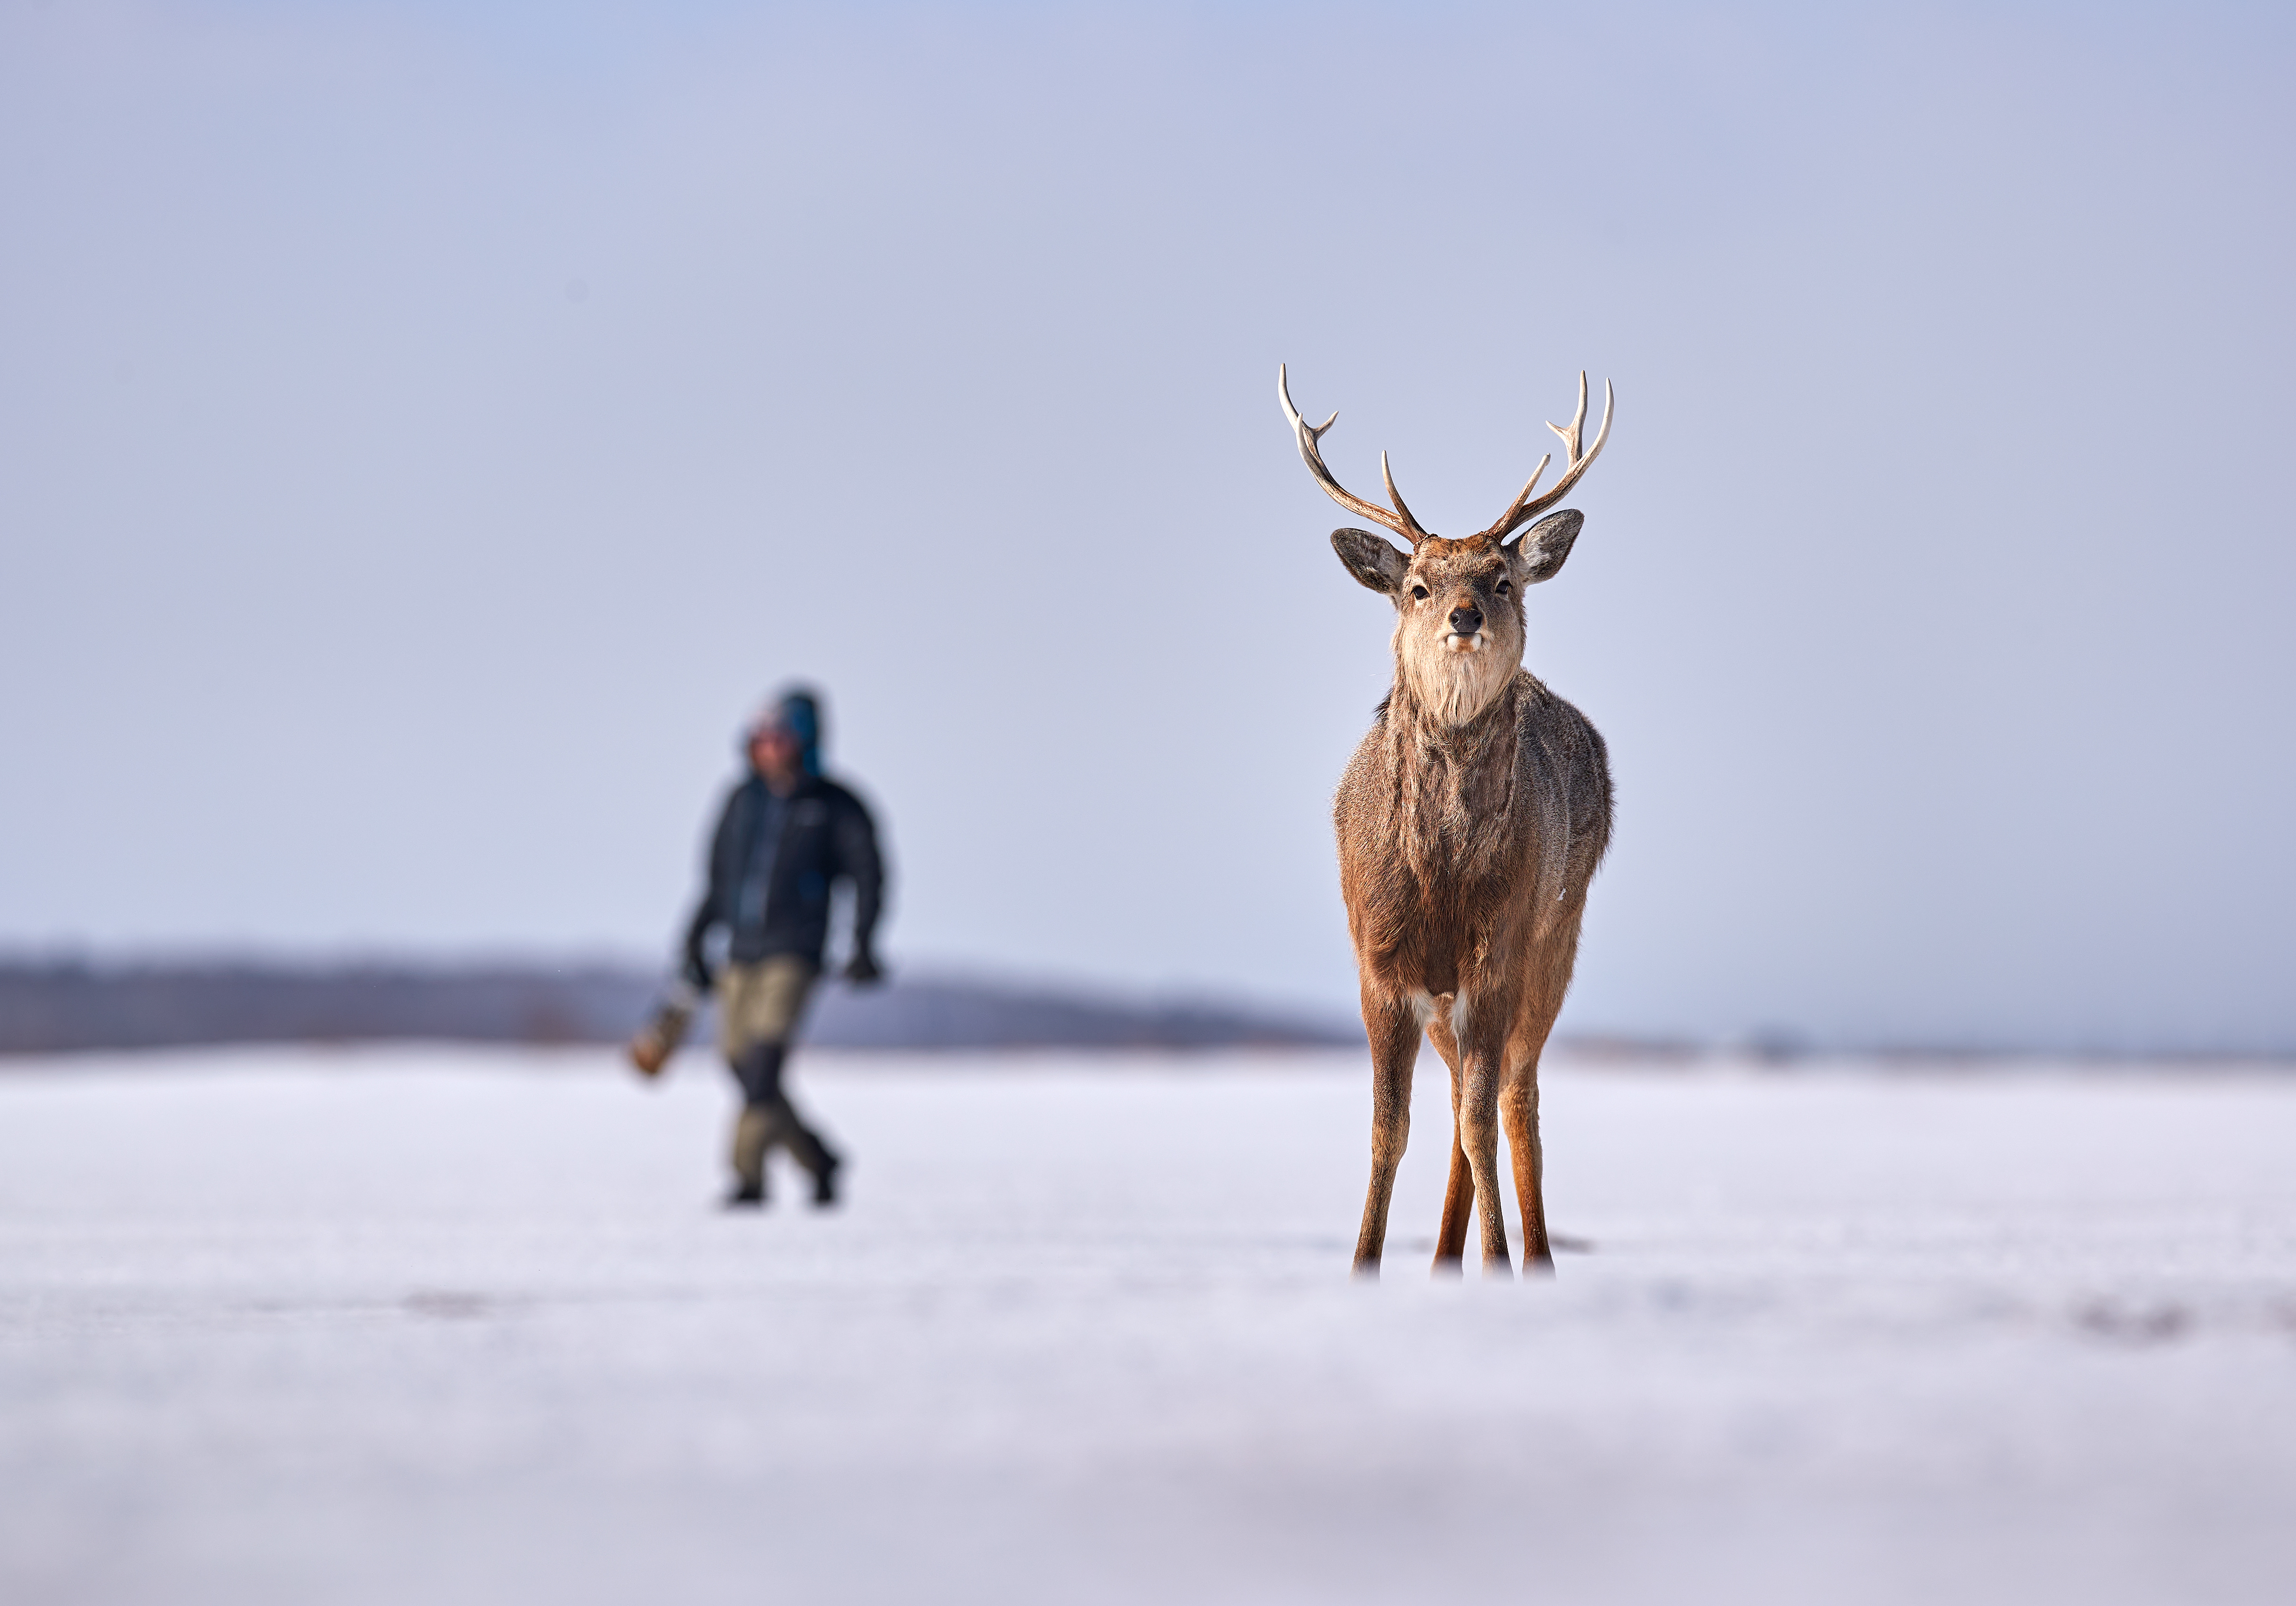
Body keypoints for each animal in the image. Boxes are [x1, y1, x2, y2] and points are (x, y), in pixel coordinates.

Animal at [1279, 364, 1615, 1278]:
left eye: (1502, 579)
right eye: (1417, 586)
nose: (1464, 615)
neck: (1440, 879)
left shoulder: (1496, 955)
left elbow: (1476, 1122)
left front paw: (1499, 1260)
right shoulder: (1381, 962)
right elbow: (1387, 1130)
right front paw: (1364, 1264)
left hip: (1556, 938)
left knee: (1512, 1096)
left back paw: (1532, 1258)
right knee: (1474, 1096)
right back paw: (1440, 1258)